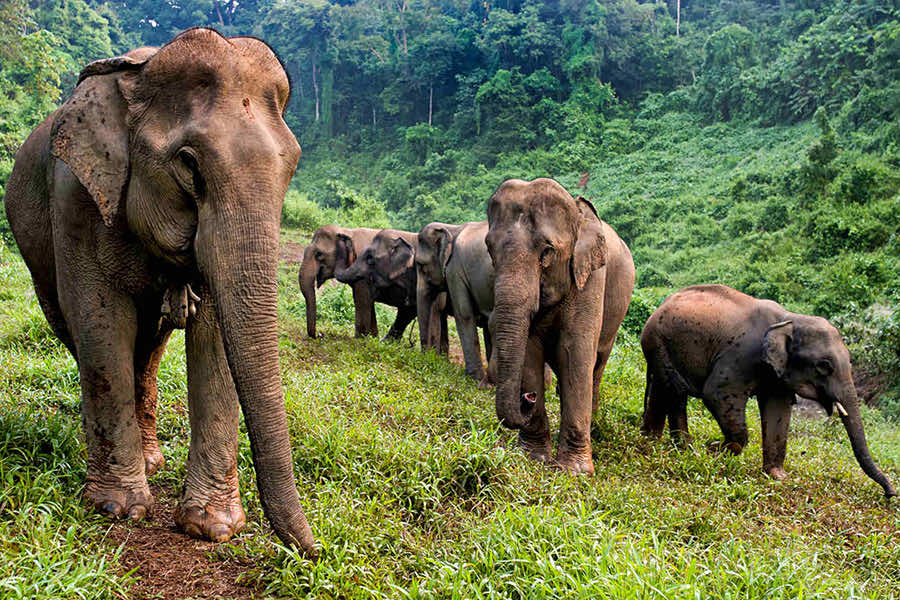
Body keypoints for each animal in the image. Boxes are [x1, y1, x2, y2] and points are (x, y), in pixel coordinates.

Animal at [3, 29, 316, 554]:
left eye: (292, 165)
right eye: (189, 165)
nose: (314, 551)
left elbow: (214, 334)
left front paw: (213, 527)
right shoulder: (76, 198)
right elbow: (100, 321)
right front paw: (117, 509)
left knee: (149, 348)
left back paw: (151, 461)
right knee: (83, 336)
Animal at [416, 221, 495, 382]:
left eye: (421, 265)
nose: (426, 359)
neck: (453, 229)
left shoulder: (455, 271)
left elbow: (464, 314)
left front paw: (476, 381)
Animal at [487, 178, 636, 474]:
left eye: (547, 251)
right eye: (489, 249)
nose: (529, 397)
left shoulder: (590, 280)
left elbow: (575, 353)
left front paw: (575, 472)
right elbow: (530, 351)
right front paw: (534, 458)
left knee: (596, 367)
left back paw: (595, 426)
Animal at [640, 284, 896, 497]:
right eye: (824, 366)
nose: (891, 493)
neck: (789, 318)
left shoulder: (778, 375)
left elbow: (778, 409)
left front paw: (778, 476)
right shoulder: (742, 355)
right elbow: (716, 392)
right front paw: (714, 450)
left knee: (663, 390)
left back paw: (652, 440)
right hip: (659, 341)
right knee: (676, 391)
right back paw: (686, 449)